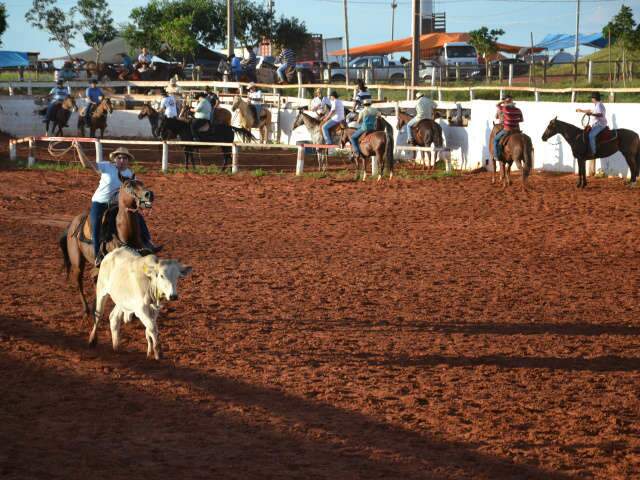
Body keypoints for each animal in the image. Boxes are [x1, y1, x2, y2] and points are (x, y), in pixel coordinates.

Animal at [59, 174, 155, 316]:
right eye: (128, 186)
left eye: (141, 183)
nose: (149, 194)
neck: (125, 235)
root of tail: (72, 224)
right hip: (77, 262)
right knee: (79, 281)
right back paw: (86, 309)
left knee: (94, 278)